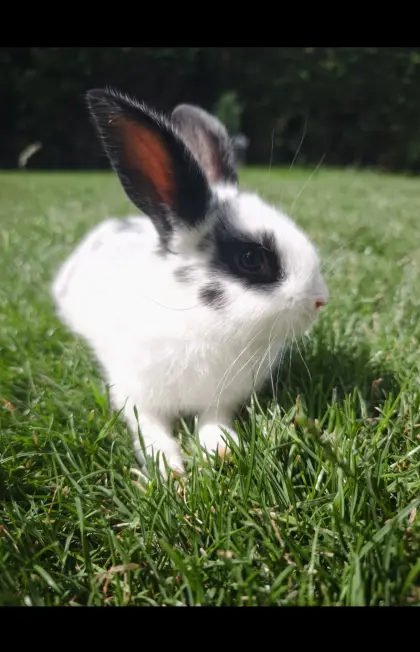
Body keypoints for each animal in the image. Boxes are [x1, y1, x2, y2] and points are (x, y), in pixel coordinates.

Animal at [51, 88, 329, 477]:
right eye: (252, 259)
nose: (320, 300)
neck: (202, 323)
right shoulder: (135, 397)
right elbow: (151, 432)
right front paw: (170, 473)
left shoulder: (220, 399)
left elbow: (214, 421)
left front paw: (223, 451)